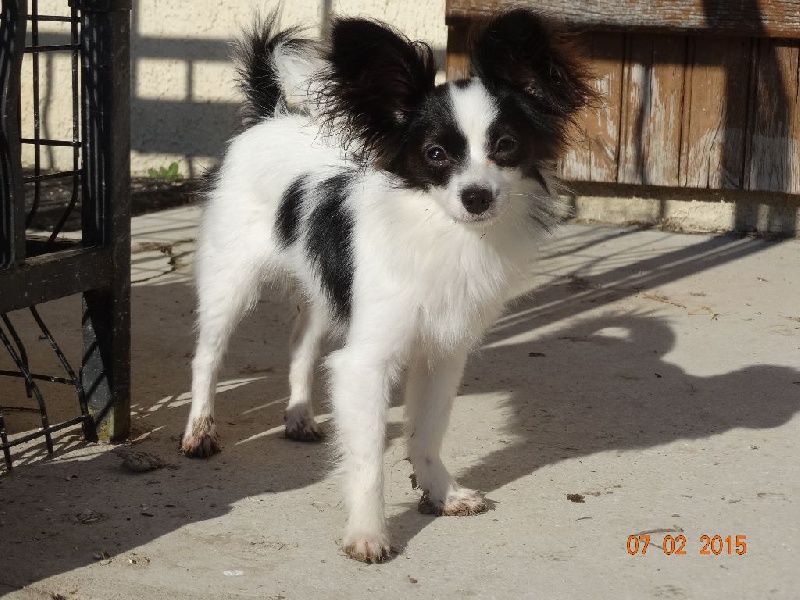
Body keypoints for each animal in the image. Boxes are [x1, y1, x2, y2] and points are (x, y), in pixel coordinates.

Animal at [180, 8, 593, 563]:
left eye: (506, 146)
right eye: (435, 153)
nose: (477, 197)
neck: (445, 233)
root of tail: (271, 116)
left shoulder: (442, 353)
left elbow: (427, 431)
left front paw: (439, 492)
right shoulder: (366, 362)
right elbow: (368, 457)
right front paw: (368, 533)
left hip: (323, 291)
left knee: (300, 346)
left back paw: (298, 416)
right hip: (230, 282)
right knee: (208, 355)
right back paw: (199, 430)